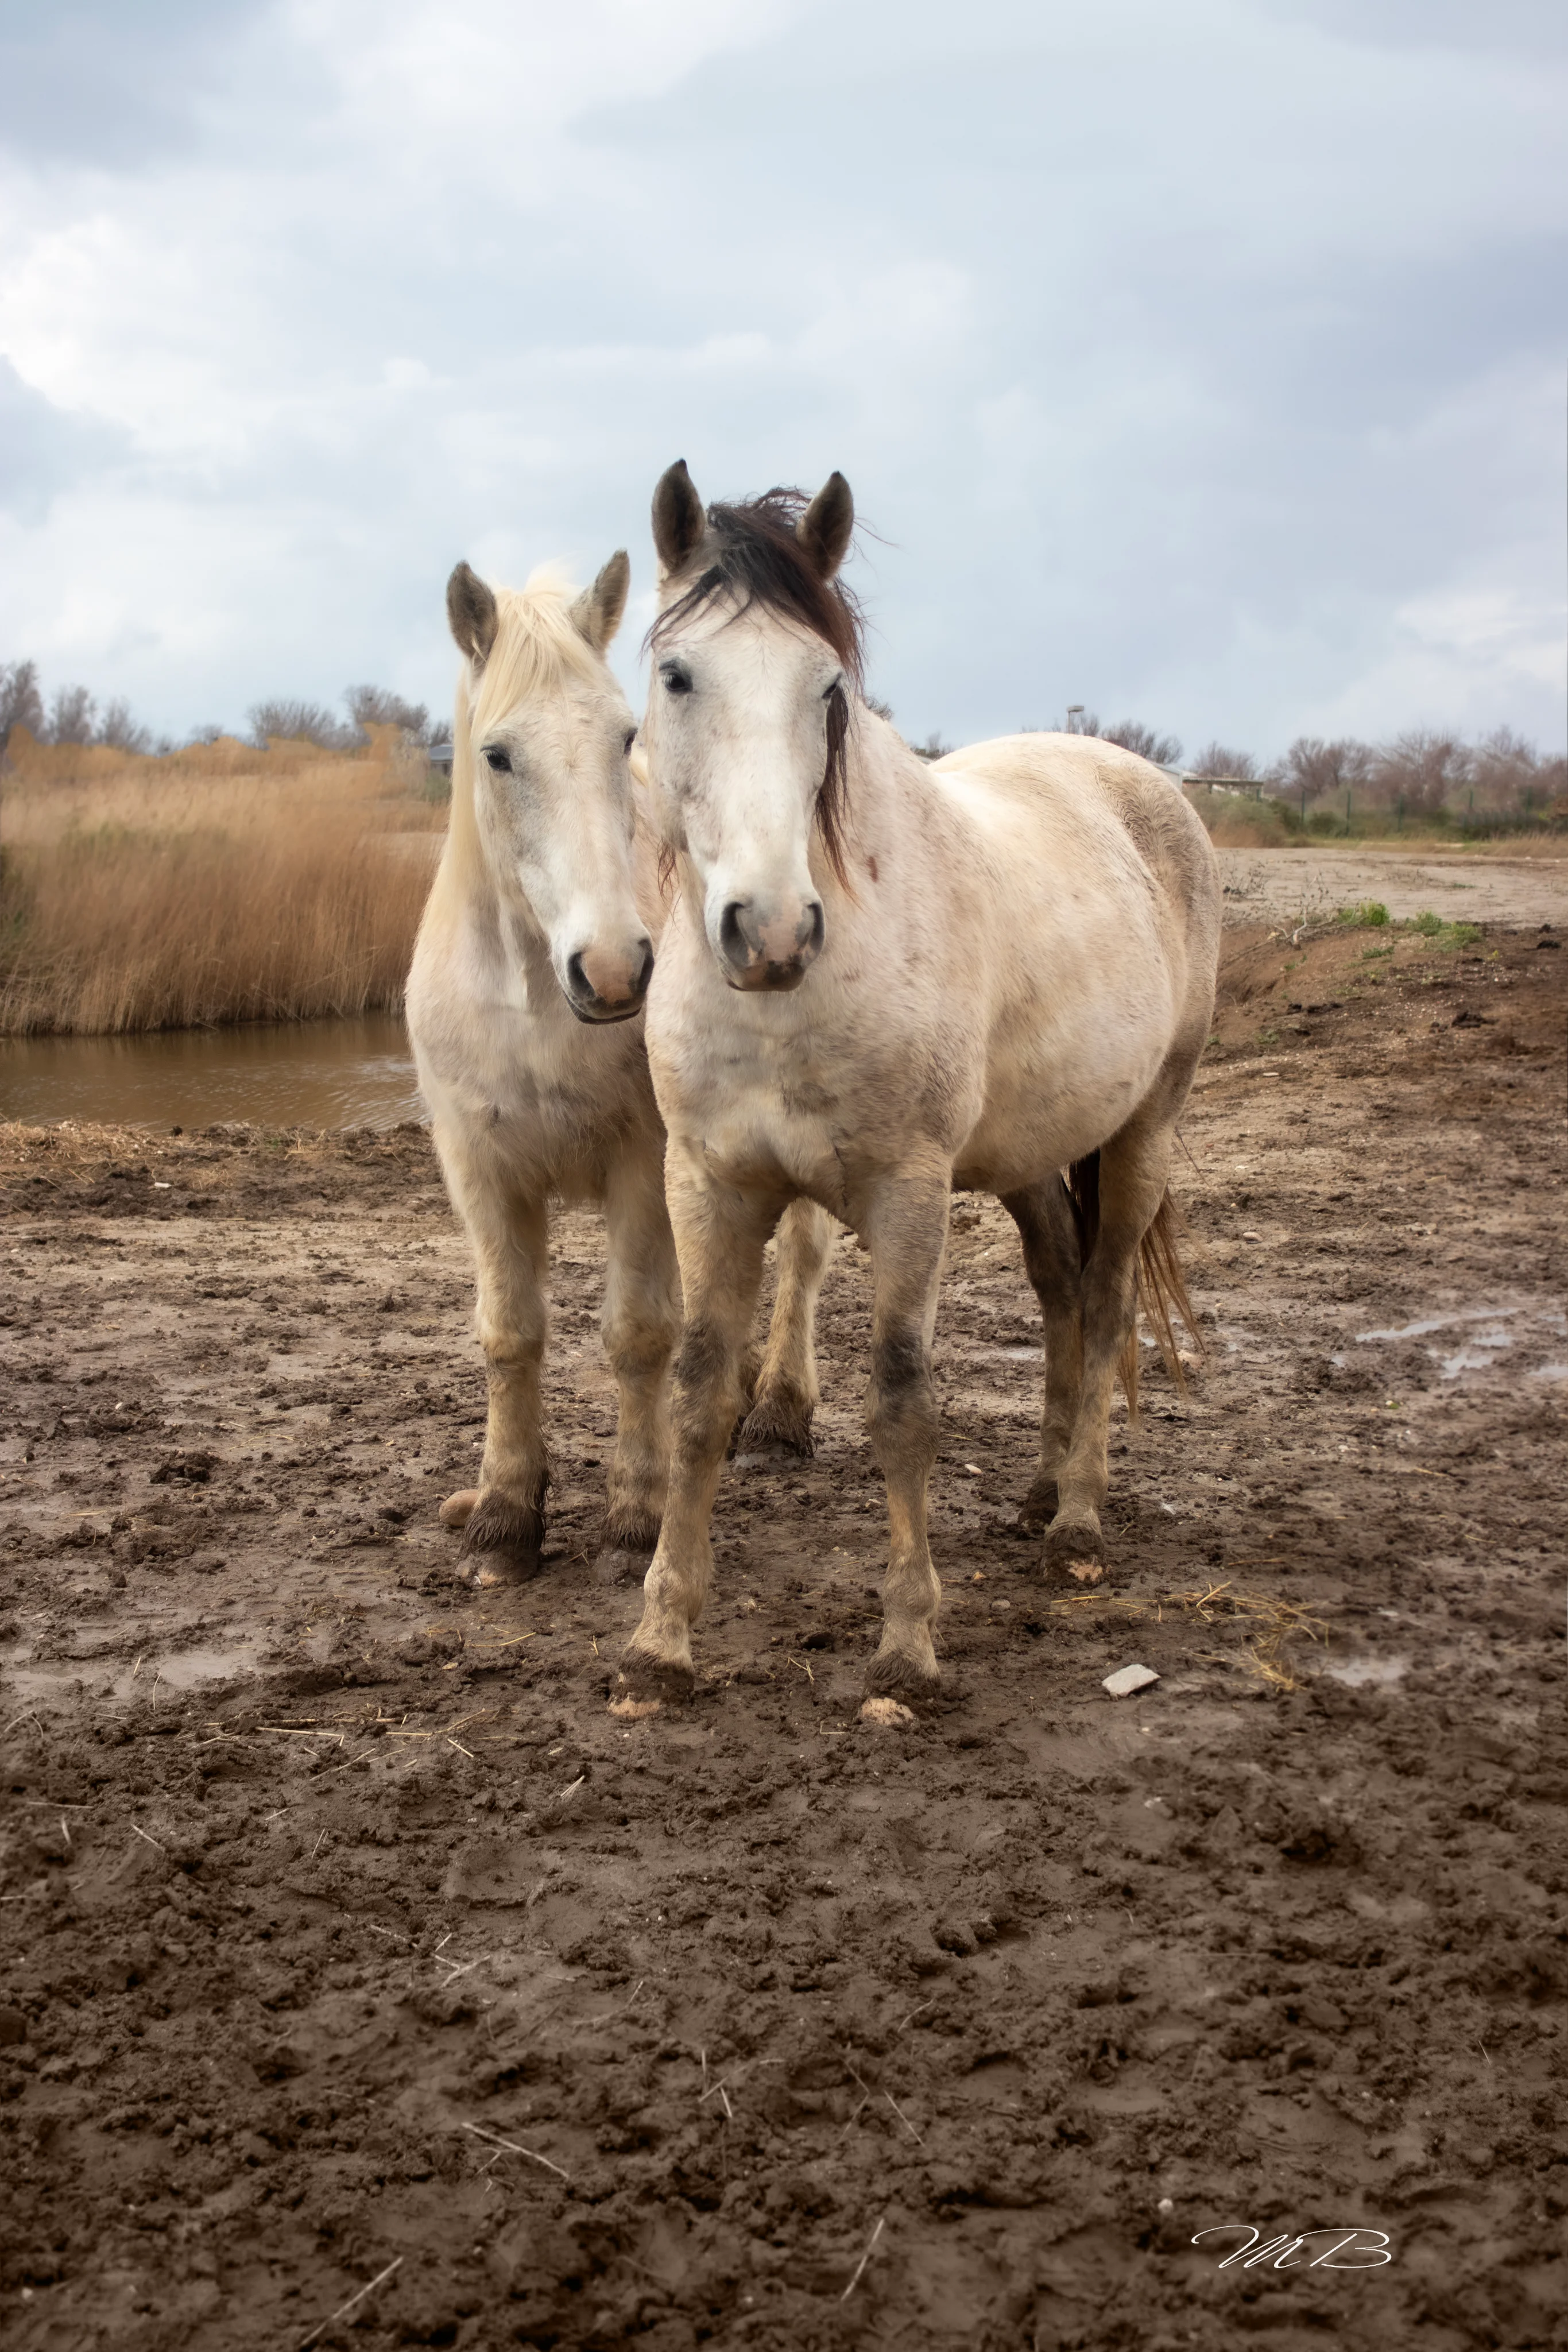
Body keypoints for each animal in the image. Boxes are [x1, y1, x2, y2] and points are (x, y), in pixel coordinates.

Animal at [405, 551, 836, 1590]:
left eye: (623, 737)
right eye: (497, 756)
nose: (610, 969)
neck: (530, 1003)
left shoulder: (643, 1164)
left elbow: (638, 1333)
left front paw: (634, 1519)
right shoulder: (481, 1172)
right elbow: (509, 1332)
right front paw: (503, 1519)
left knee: (801, 1256)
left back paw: (778, 1413)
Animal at [620, 464, 1221, 1699]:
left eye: (828, 688)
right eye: (677, 673)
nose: (770, 931)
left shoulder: (906, 1192)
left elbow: (901, 1401)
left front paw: (906, 1642)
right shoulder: (708, 1182)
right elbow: (701, 1390)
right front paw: (661, 1639)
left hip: (1142, 1128)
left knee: (1106, 1298)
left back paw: (1078, 1518)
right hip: (1032, 1154)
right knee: (1059, 1287)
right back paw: (1040, 1489)